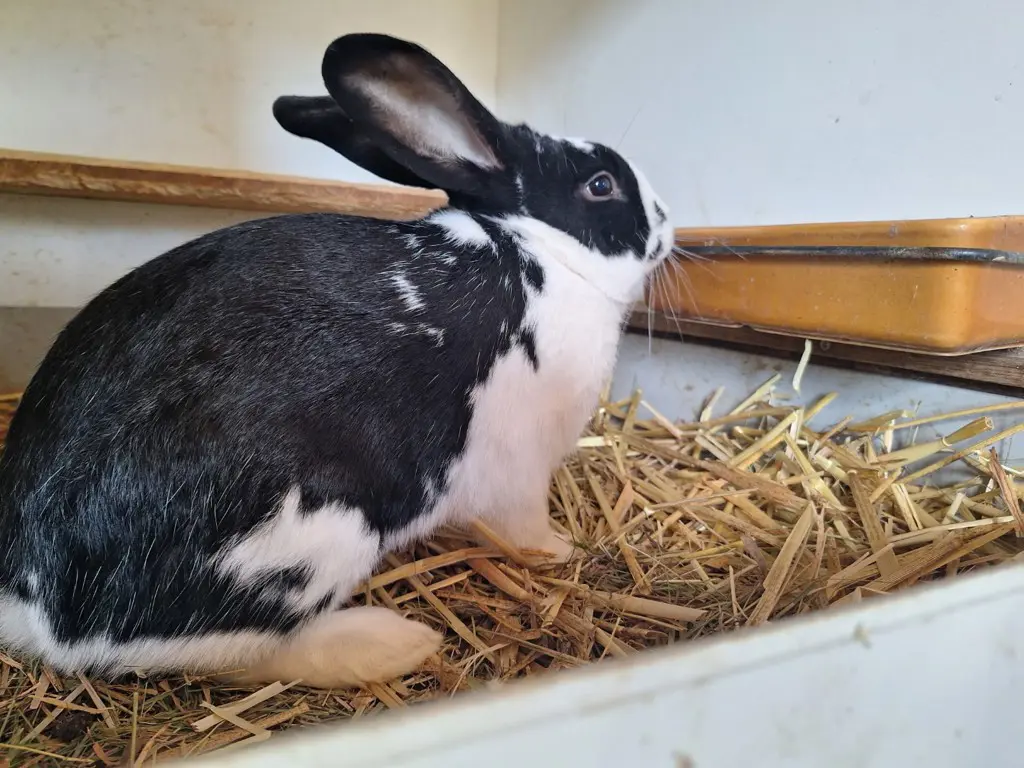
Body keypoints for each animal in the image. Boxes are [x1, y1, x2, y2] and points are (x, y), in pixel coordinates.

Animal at [0, 32, 674, 689]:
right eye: (601, 184)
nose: (669, 222)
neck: (544, 254)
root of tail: (29, 598)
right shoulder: (518, 474)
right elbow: (525, 531)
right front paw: (564, 552)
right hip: (310, 542)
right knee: (230, 656)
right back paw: (393, 642)